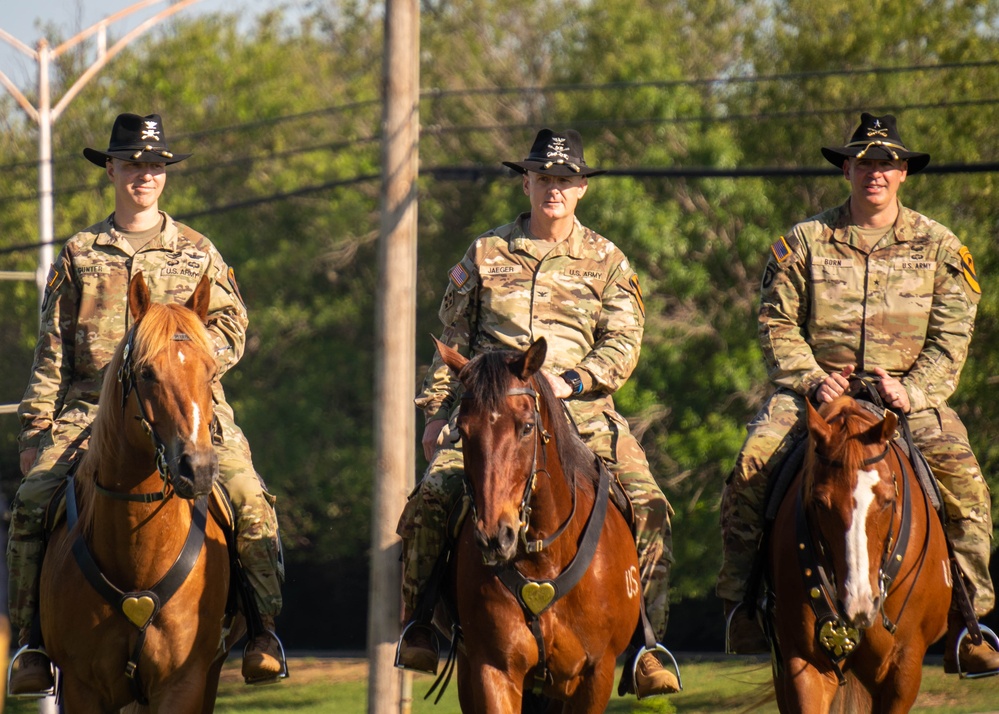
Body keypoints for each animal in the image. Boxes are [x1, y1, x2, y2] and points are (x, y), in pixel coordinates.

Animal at [38, 272, 244, 708]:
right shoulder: (82, 688)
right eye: (147, 372)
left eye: (211, 372)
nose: (198, 468)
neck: (139, 558)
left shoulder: (183, 684)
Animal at [438, 338, 648, 712]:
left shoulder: (595, 676)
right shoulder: (493, 670)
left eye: (526, 427)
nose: (495, 536)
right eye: (462, 430)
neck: (544, 558)